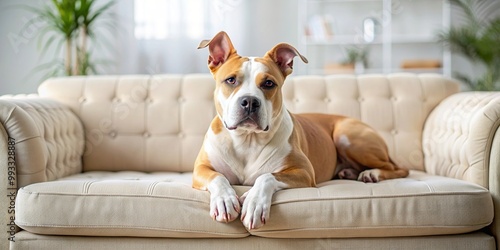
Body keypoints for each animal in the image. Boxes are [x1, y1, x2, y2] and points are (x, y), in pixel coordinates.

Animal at [191, 31, 406, 230]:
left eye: (268, 83)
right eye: (231, 80)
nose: (250, 101)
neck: (247, 139)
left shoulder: (304, 171)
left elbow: (266, 176)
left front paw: (254, 202)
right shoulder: (201, 168)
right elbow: (218, 177)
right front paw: (225, 200)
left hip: (347, 136)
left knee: (398, 169)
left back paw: (372, 174)